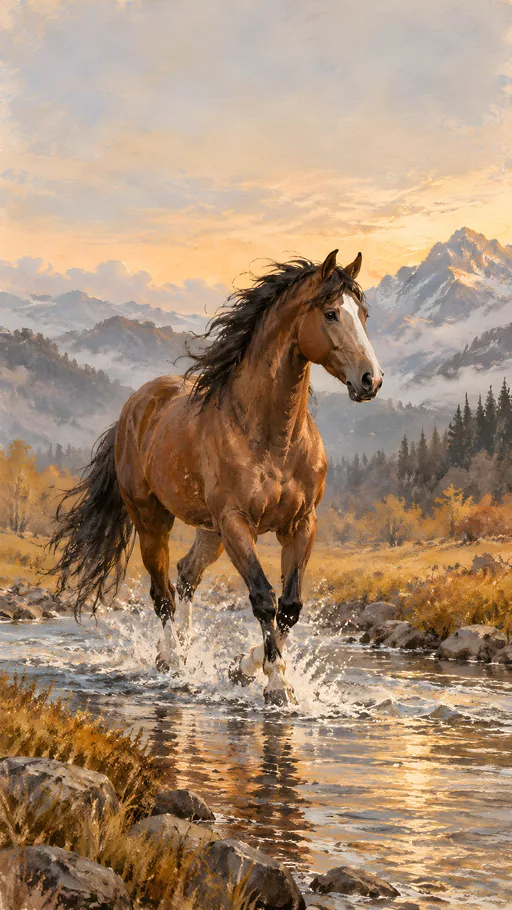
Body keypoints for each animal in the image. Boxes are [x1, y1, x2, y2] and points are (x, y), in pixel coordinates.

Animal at [49, 249, 383, 706]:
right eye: (331, 313)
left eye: (363, 314)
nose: (371, 380)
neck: (271, 435)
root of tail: (135, 405)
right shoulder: (236, 522)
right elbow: (263, 598)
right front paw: (276, 685)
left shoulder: (300, 524)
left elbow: (290, 606)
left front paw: (243, 669)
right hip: (153, 521)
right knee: (163, 595)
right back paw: (171, 661)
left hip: (209, 532)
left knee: (187, 575)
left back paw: (187, 654)